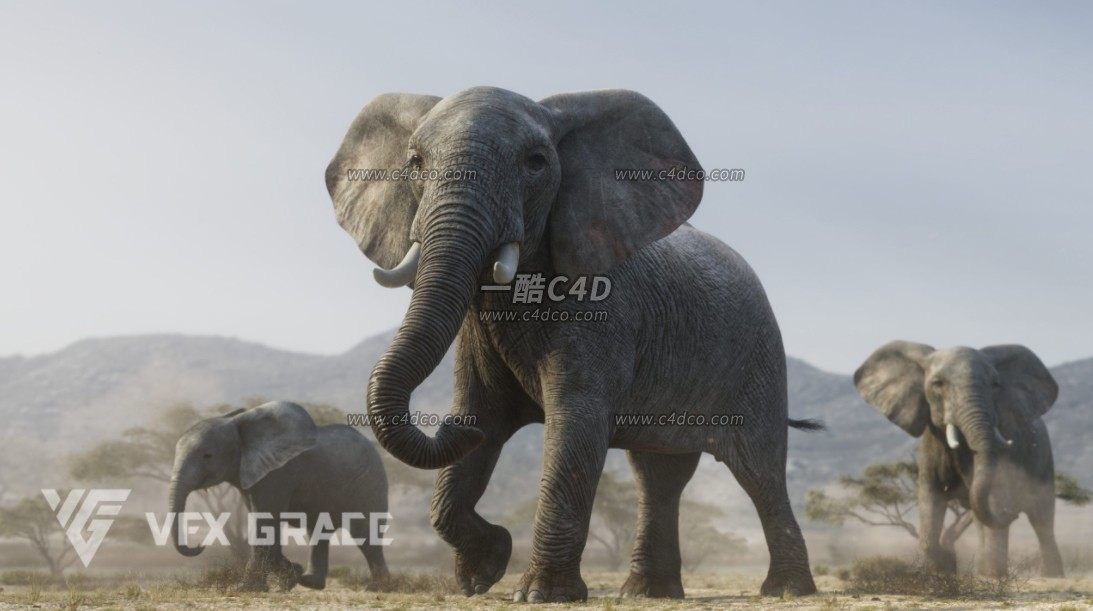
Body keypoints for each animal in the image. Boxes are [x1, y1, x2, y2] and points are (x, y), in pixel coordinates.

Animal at [168, 401, 390, 590]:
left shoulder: (278, 473)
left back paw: (377, 588)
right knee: (319, 531)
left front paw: (244, 589)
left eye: (208, 456)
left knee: (364, 534)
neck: (241, 425)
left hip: (369, 484)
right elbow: (267, 525)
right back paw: (310, 582)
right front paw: (290, 578)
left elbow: (266, 521)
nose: (200, 544)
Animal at [325, 86, 819, 601]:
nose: (449, 428)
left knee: (759, 471)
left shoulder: (602, 313)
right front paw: (483, 571)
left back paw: (786, 590)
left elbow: (575, 425)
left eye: (536, 163)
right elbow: (483, 412)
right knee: (659, 476)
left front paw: (538, 594)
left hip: (758, 356)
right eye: (415, 162)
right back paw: (647, 593)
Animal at [854, 341, 1064, 577]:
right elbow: (930, 499)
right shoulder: (930, 445)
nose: (1012, 514)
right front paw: (943, 568)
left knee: (1041, 518)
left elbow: (994, 499)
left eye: (995, 384)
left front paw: (993, 577)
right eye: (937, 383)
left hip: (1044, 460)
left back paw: (1050, 576)